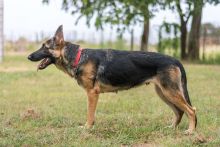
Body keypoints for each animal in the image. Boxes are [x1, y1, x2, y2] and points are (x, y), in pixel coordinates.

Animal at [27, 25, 198, 134]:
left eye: (45, 47)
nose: (28, 57)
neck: (78, 57)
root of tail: (175, 60)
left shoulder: (92, 94)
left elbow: (90, 114)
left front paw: (87, 128)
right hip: (163, 93)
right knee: (179, 112)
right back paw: (172, 128)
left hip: (170, 92)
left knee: (191, 110)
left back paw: (190, 131)